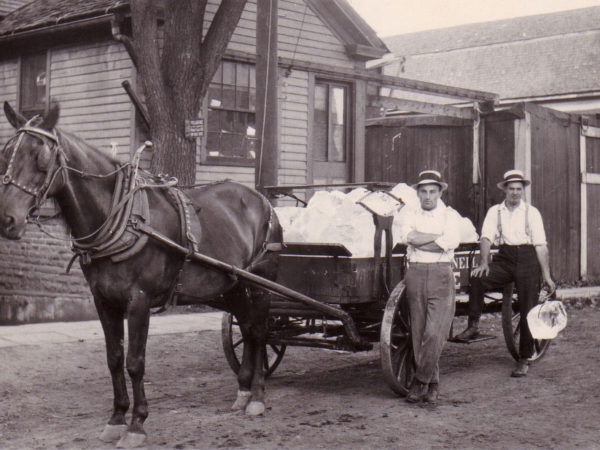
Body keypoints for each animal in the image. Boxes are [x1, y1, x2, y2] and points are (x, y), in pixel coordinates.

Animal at [0, 100, 282, 448]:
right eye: (6, 154)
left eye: (40, 157)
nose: (7, 220)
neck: (122, 217)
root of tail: (261, 199)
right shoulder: (104, 301)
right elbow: (113, 358)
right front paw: (116, 419)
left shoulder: (139, 300)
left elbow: (135, 362)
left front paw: (137, 424)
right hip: (232, 284)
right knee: (247, 326)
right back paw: (243, 389)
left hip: (260, 282)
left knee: (259, 330)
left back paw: (257, 395)